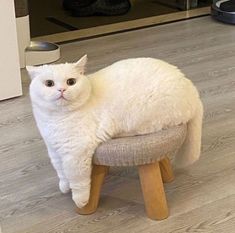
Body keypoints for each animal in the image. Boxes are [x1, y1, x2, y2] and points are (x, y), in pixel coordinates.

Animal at [26, 55, 203, 208]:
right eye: (49, 83)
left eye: (71, 82)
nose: (61, 90)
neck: (56, 118)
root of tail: (192, 89)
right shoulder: (53, 149)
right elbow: (60, 171)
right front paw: (64, 186)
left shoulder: (76, 152)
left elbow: (77, 178)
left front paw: (80, 201)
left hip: (145, 116)